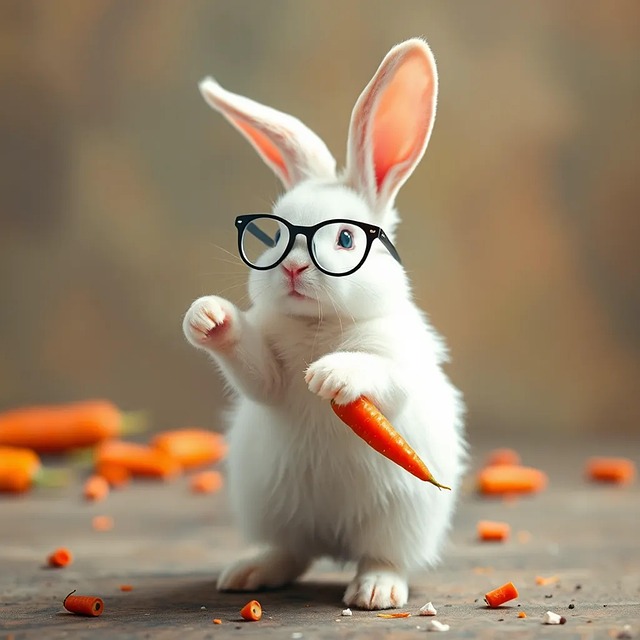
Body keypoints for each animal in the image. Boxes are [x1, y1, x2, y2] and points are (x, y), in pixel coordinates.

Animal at [183, 37, 467, 610]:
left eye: (345, 239)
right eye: (273, 236)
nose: (292, 269)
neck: (317, 327)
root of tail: (333, 541)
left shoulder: (399, 360)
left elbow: (379, 375)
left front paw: (330, 376)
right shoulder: (268, 378)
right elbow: (256, 371)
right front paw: (208, 316)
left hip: (398, 521)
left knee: (382, 557)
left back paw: (375, 592)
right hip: (275, 511)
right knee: (291, 554)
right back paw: (246, 573)